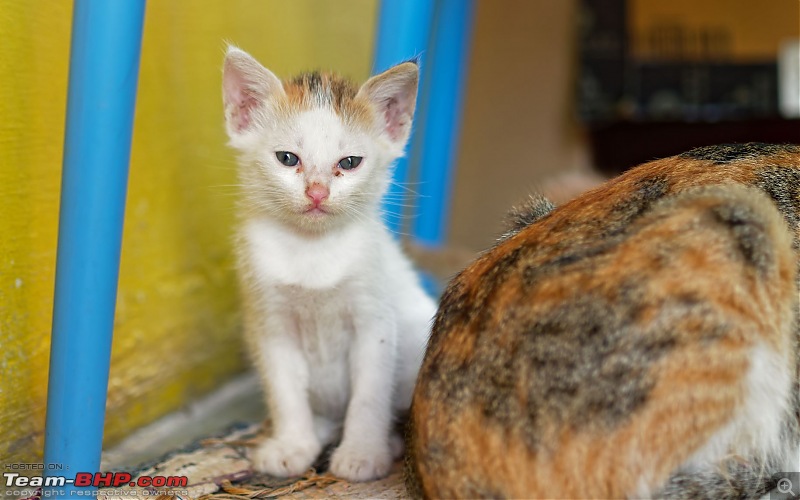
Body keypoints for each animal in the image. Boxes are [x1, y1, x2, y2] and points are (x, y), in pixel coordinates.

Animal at [222, 48, 438, 482]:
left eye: (350, 162)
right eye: (287, 158)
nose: (318, 192)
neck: (312, 250)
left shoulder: (374, 320)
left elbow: (370, 393)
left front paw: (363, 454)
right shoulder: (271, 323)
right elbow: (285, 390)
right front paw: (293, 445)